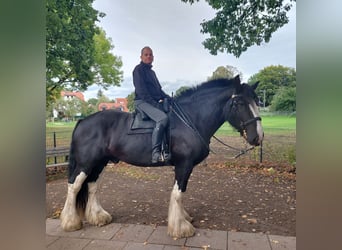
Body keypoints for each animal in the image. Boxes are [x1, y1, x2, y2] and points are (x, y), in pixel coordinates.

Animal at [60, 74, 264, 238]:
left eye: (256, 101)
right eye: (240, 103)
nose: (258, 137)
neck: (190, 119)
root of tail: (83, 121)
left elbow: (179, 193)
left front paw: (183, 218)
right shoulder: (184, 165)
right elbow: (178, 193)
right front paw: (181, 227)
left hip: (99, 163)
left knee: (92, 185)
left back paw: (98, 217)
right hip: (86, 163)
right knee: (73, 186)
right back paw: (70, 222)